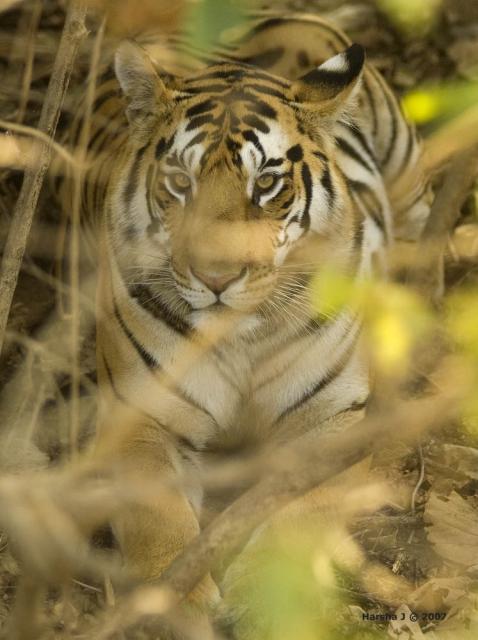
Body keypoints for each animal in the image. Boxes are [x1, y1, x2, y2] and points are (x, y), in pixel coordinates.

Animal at [59, 10, 432, 637]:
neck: (241, 339)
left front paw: (263, 599)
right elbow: (155, 515)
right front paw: (172, 604)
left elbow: (299, 513)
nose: (217, 276)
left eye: (266, 184)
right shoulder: (140, 416)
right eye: (179, 182)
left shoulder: (330, 419)